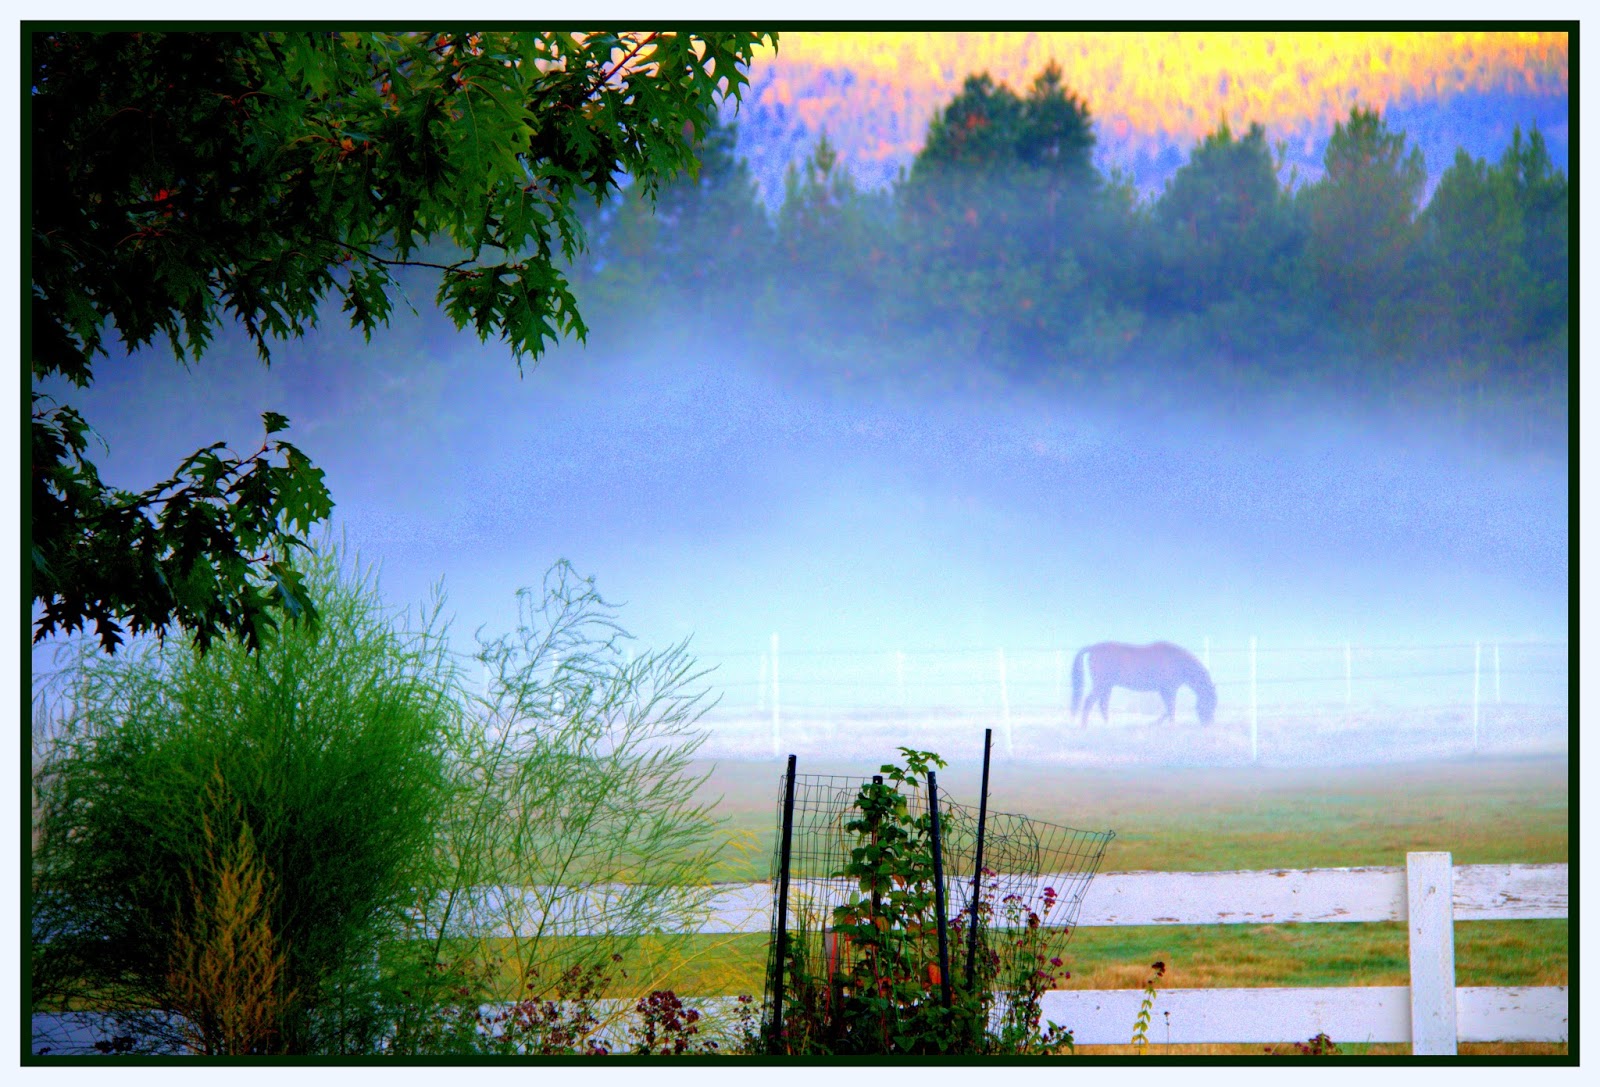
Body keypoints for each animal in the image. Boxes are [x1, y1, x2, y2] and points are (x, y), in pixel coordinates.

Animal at [1069, 641, 1216, 728]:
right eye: (1209, 703)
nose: (1208, 726)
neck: (1179, 663)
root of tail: (1093, 648)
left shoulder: (1164, 690)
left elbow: (1168, 709)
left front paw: (1156, 724)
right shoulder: (1169, 689)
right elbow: (1171, 709)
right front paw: (1170, 726)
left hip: (1107, 685)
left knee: (1102, 704)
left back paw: (1108, 726)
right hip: (1102, 684)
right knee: (1089, 702)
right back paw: (1084, 727)